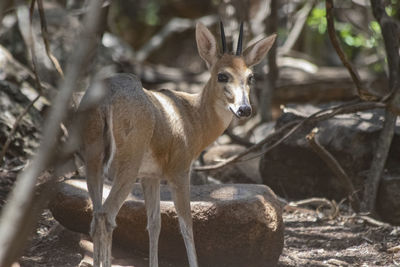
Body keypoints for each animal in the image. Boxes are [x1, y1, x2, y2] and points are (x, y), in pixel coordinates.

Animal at [79, 21, 276, 267]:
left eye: (250, 77)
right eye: (222, 75)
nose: (244, 109)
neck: (192, 116)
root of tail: (106, 98)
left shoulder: (150, 176)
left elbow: (154, 223)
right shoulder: (179, 171)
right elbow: (187, 224)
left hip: (93, 160)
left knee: (96, 216)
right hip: (127, 166)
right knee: (106, 216)